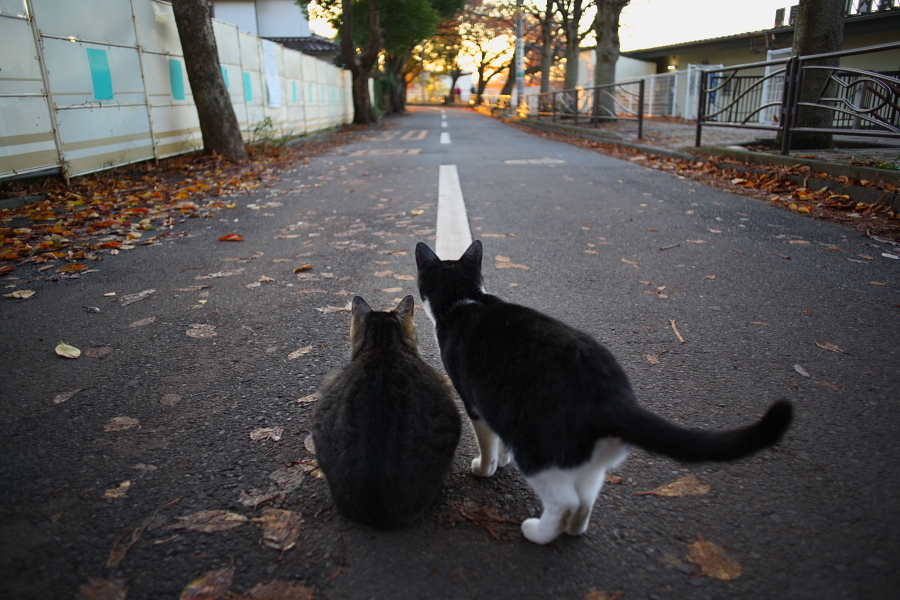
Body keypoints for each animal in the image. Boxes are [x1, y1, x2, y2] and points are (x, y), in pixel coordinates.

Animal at [414, 239, 796, 544]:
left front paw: (485, 468)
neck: (464, 302)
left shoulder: (475, 402)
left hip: (538, 449)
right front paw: (501, 460)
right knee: (586, 498)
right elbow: (500, 439)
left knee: (564, 501)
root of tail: (610, 396)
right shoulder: (497, 405)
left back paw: (538, 532)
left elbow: (487, 443)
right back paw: (573, 530)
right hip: (590, 459)